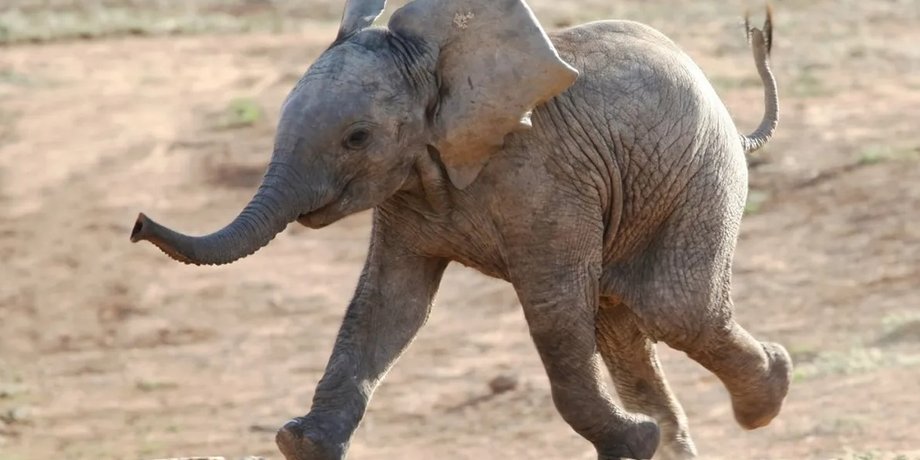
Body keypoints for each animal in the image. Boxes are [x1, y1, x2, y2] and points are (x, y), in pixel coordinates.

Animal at [129, 0, 791, 458]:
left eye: (357, 138)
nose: (136, 224)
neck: (438, 67)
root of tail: (736, 126)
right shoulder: (408, 188)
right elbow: (390, 305)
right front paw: (303, 444)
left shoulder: (546, 182)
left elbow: (553, 311)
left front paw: (634, 444)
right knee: (623, 324)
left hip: (700, 176)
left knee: (673, 308)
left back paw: (767, 398)